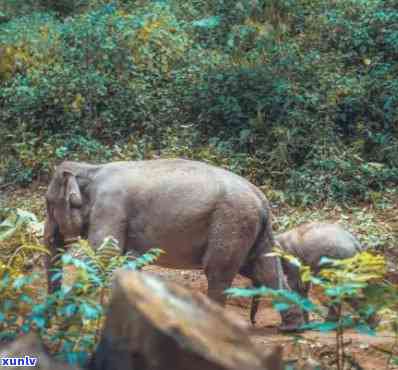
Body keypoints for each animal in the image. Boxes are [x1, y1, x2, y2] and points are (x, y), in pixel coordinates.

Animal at [43, 158, 304, 330]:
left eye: (48, 204)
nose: (48, 325)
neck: (91, 168)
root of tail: (262, 199)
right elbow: (122, 260)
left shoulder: (110, 208)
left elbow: (102, 256)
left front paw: (65, 325)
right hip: (251, 230)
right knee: (263, 269)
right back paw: (291, 328)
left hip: (231, 223)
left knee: (218, 272)